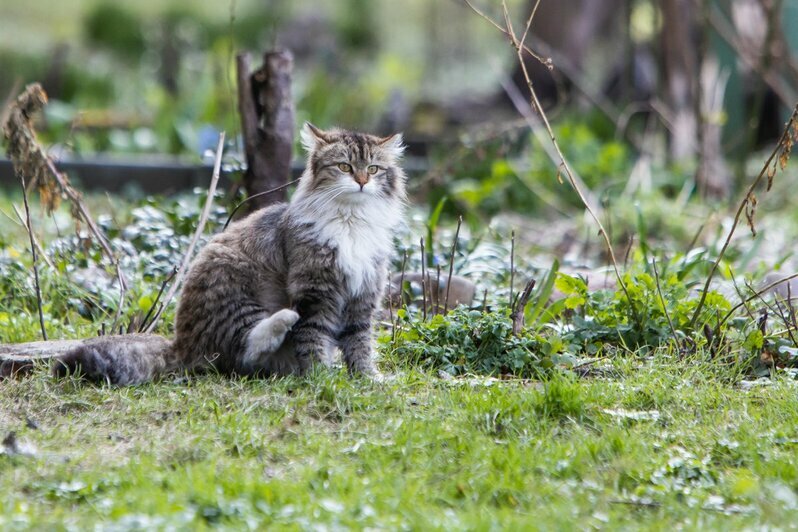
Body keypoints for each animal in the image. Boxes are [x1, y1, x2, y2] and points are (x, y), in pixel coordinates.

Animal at [51, 122, 406, 384]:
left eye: (374, 169)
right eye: (345, 166)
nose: (361, 181)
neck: (351, 223)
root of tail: (181, 344)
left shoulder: (363, 297)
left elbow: (360, 345)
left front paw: (369, 380)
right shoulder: (316, 294)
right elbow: (315, 340)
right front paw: (320, 378)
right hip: (236, 289)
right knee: (248, 351)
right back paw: (283, 321)